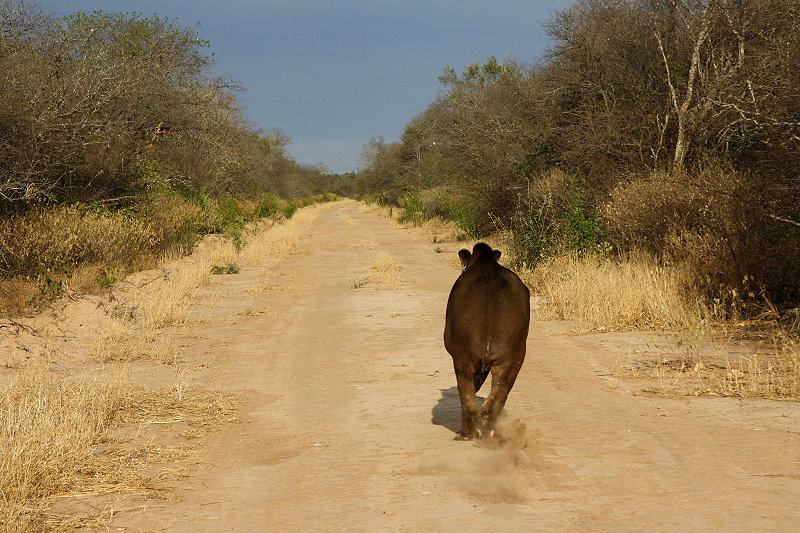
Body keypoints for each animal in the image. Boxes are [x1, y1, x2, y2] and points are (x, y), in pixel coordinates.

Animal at [444, 243, 532, 438]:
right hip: (512, 360)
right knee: (496, 397)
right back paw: (492, 433)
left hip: (462, 359)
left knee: (468, 400)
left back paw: (466, 434)